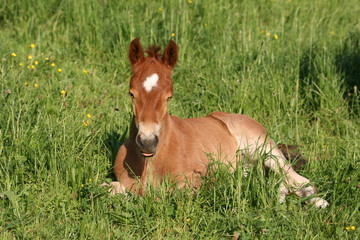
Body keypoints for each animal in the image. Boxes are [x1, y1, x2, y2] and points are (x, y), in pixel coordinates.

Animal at [102, 38, 328, 207]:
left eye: (169, 97)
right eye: (132, 94)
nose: (148, 142)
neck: (152, 162)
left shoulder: (192, 181)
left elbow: (163, 194)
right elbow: (109, 188)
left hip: (264, 149)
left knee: (296, 179)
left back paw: (315, 202)